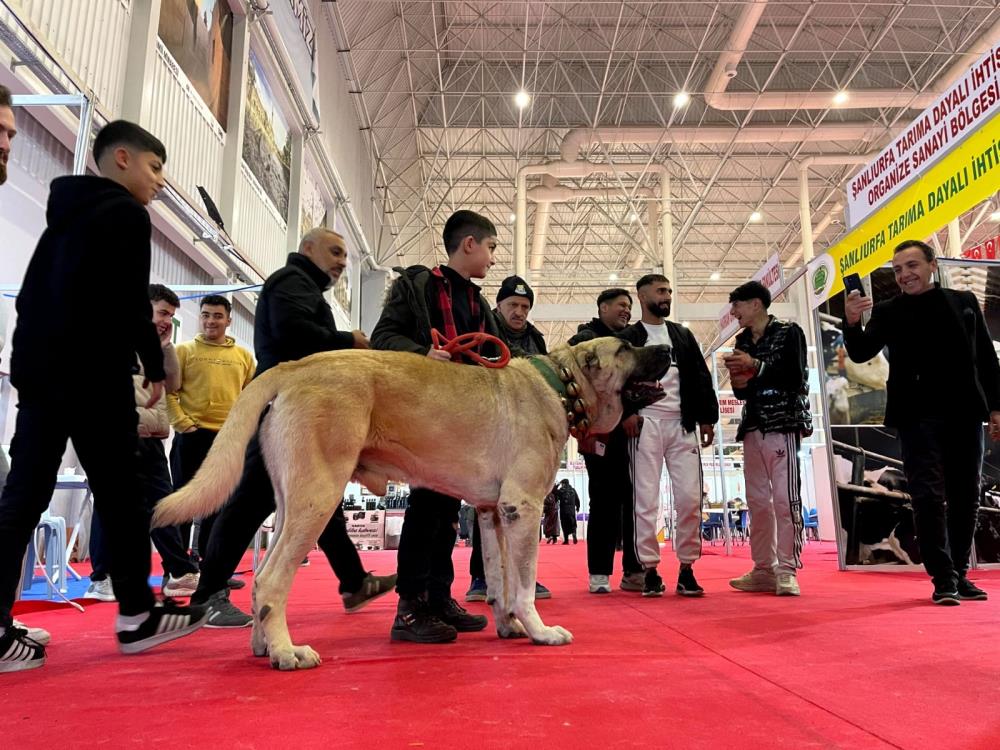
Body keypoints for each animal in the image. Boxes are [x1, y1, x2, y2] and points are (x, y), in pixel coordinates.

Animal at [154, 338, 672, 672]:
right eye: (626, 346)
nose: (668, 348)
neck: (559, 383)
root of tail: (296, 365)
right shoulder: (522, 508)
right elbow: (523, 583)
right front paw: (541, 631)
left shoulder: (492, 513)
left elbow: (501, 580)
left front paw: (509, 626)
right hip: (317, 496)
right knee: (270, 578)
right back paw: (286, 652)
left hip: (291, 501)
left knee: (265, 573)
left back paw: (263, 645)